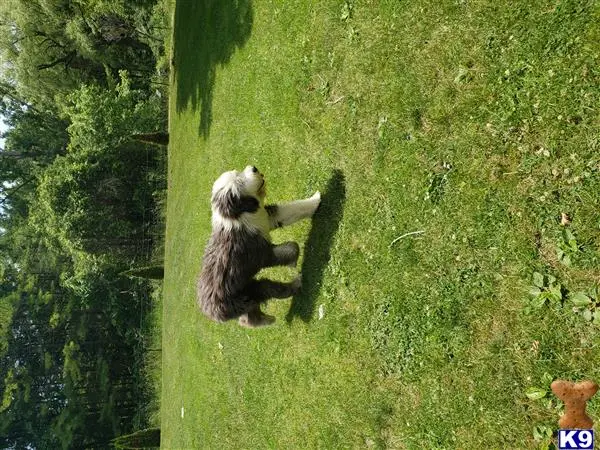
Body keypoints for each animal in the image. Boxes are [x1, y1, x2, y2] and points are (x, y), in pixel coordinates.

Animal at [197, 165, 322, 326]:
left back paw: (267, 319)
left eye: (238, 173)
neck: (238, 218)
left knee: (248, 316)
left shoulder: (268, 218)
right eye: (239, 182)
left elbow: (291, 209)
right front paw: (293, 262)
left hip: (248, 292)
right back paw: (295, 285)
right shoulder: (260, 254)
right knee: (269, 291)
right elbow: (291, 248)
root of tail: (208, 311)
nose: (254, 168)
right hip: (246, 296)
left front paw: (316, 199)